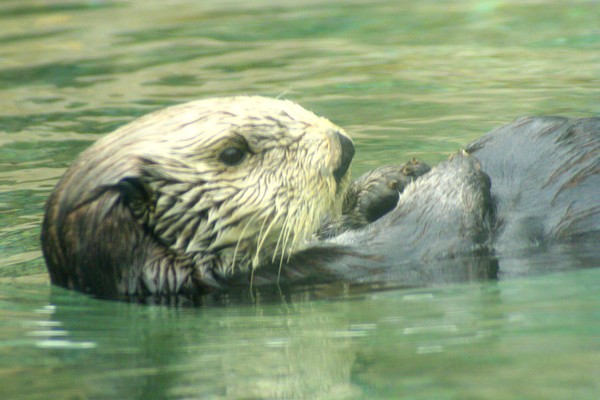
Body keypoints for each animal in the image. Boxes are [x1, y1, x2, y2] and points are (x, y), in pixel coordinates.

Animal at [39, 97, 596, 300]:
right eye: (232, 152)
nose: (342, 147)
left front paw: (390, 180)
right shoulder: (353, 264)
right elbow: (440, 228)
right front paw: (447, 169)